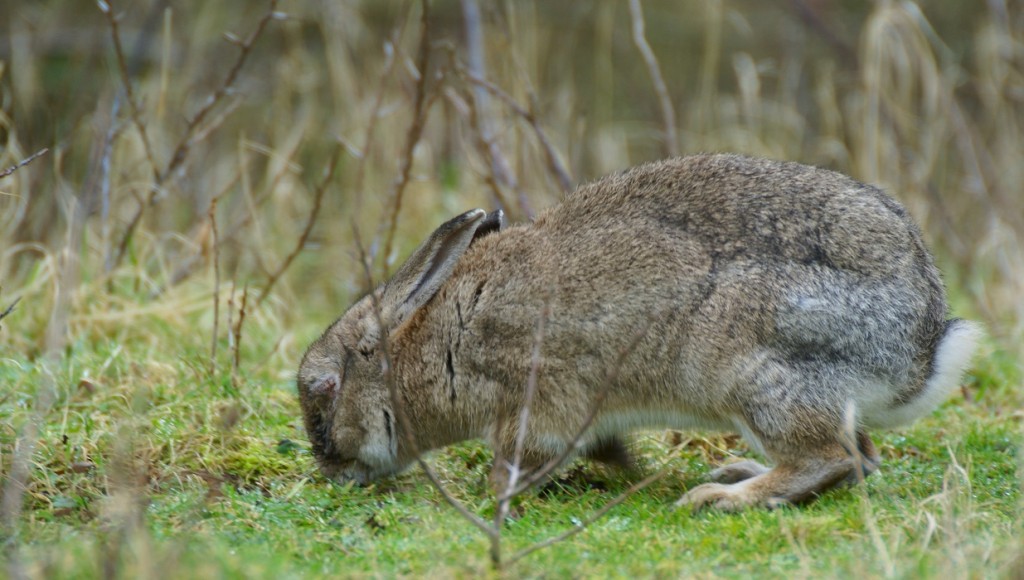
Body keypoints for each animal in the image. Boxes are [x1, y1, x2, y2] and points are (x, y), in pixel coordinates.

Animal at [296, 154, 983, 514]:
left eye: (324, 389)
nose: (332, 471)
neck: (426, 344)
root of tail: (920, 352)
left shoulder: (534, 397)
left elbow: (518, 458)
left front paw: (498, 497)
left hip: (755, 371)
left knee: (833, 457)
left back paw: (718, 497)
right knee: (858, 459)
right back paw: (737, 475)